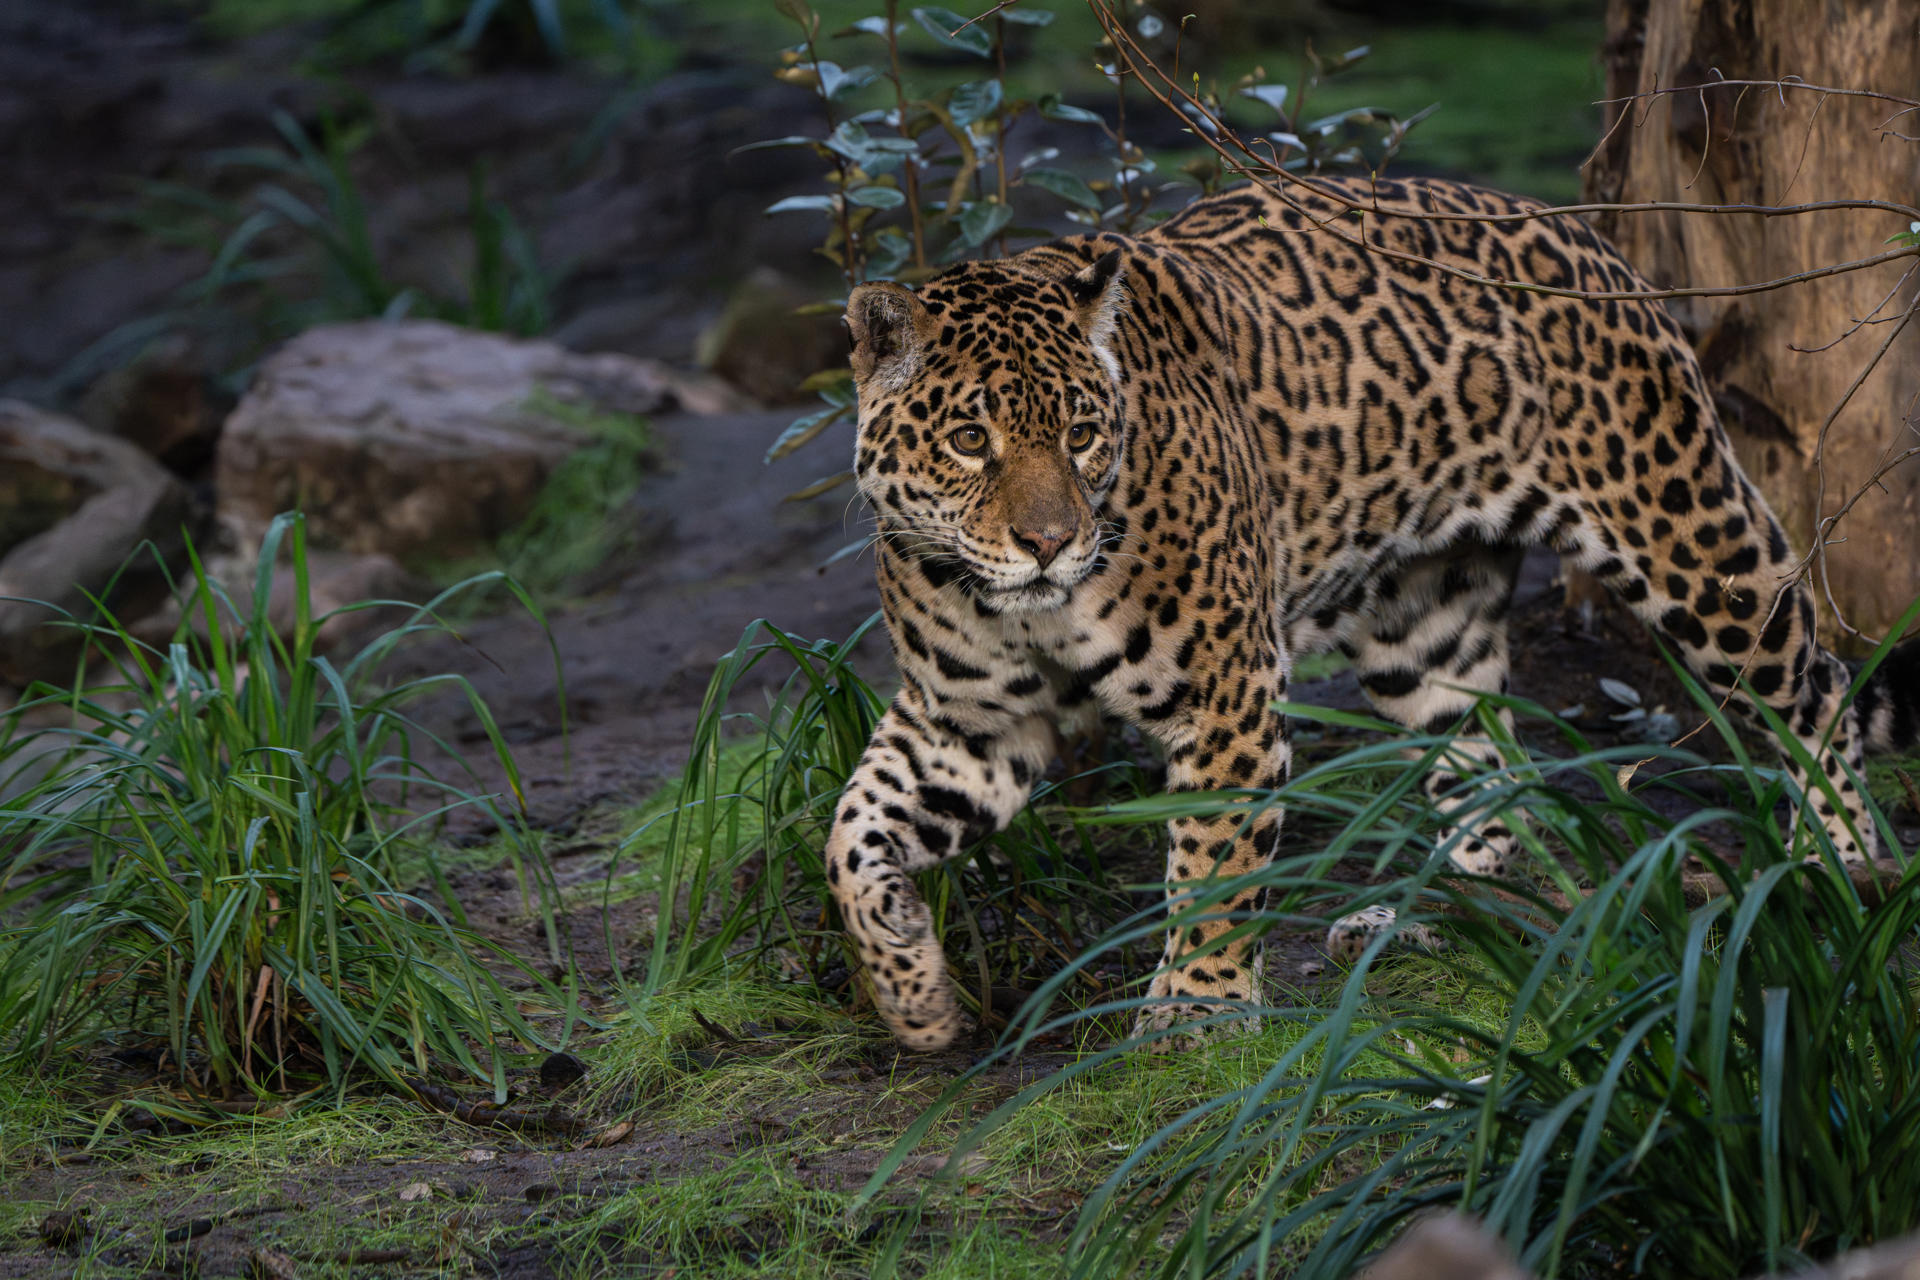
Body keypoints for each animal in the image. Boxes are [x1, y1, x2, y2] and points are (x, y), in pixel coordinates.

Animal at [824, 174, 1920, 1052]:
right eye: (971, 439)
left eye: (1084, 433)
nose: (1050, 541)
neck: (1025, 607)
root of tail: (1583, 235)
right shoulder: (968, 725)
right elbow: (850, 835)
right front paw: (915, 994)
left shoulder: (1227, 697)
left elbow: (1214, 864)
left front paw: (1198, 1009)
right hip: (1422, 627)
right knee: (1488, 768)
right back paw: (1438, 914)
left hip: (1690, 542)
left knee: (1815, 687)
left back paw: (1842, 864)